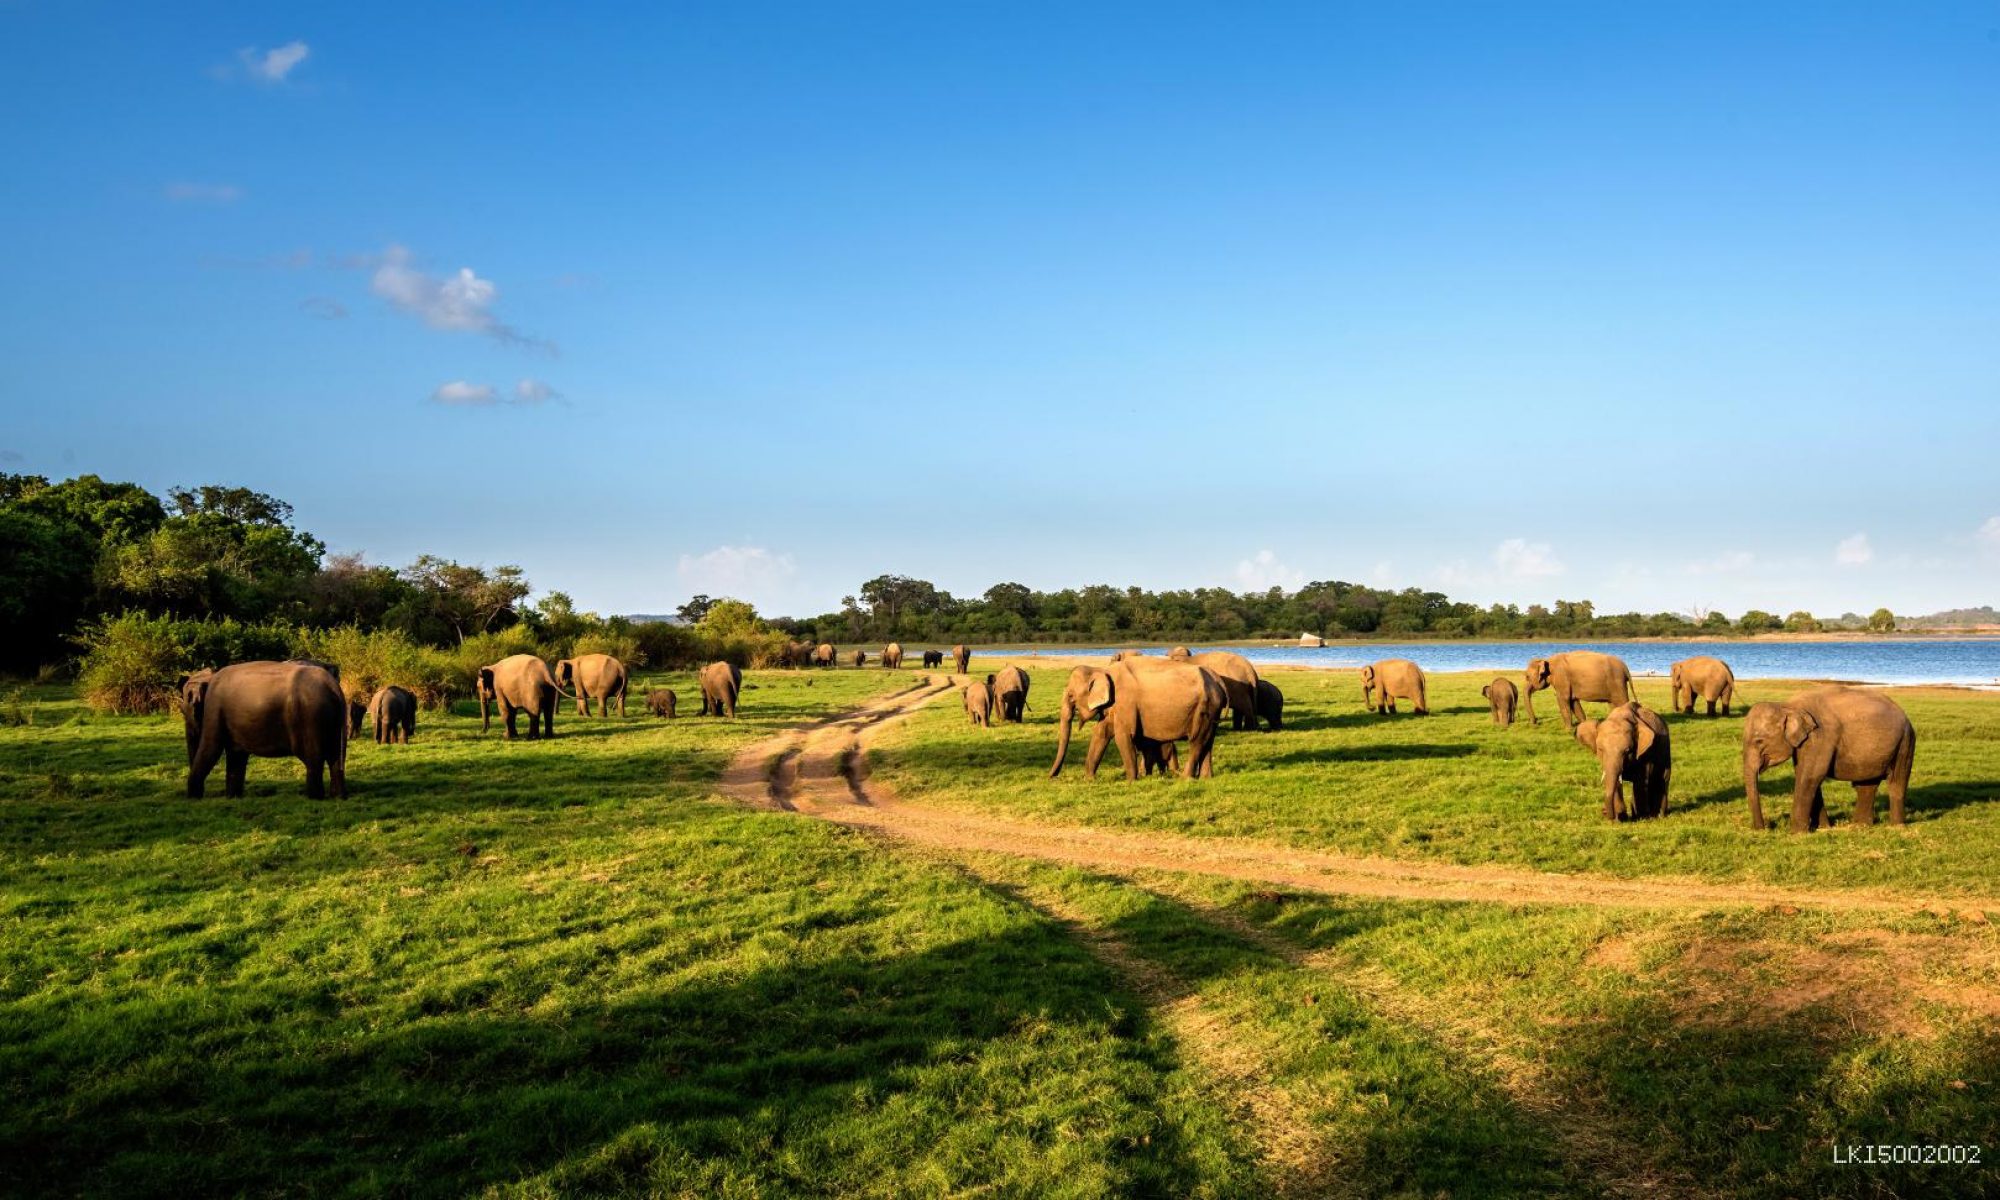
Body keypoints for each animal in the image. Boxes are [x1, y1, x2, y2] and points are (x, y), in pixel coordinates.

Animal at [182, 660, 350, 800]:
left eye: (184, 711)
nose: (193, 797)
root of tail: (334, 687)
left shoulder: (214, 708)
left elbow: (211, 749)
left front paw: (193, 799)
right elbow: (236, 755)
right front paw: (233, 798)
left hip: (311, 717)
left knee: (314, 758)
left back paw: (314, 798)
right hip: (332, 720)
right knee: (335, 757)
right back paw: (337, 797)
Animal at [1056, 656, 1224, 780]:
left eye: (1071, 696)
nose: (1053, 777)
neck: (1103, 670)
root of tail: (1219, 681)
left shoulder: (1126, 701)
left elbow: (1122, 736)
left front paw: (1131, 780)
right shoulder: (1114, 706)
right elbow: (1100, 733)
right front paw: (1089, 779)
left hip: (1204, 708)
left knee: (1196, 741)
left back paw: (1185, 778)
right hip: (1212, 711)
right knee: (1207, 741)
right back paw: (1205, 778)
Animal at [1744, 684, 1912, 836]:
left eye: (1759, 741)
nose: (1765, 828)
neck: (1788, 706)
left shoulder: (1820, 737)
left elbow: (1810, 776)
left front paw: (1796, 833)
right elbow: (1807, 776)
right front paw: (1822, 828)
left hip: (1905, 743)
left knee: (1896, 782)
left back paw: (1896, 827)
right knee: (1866, 785)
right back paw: (1860, 826)